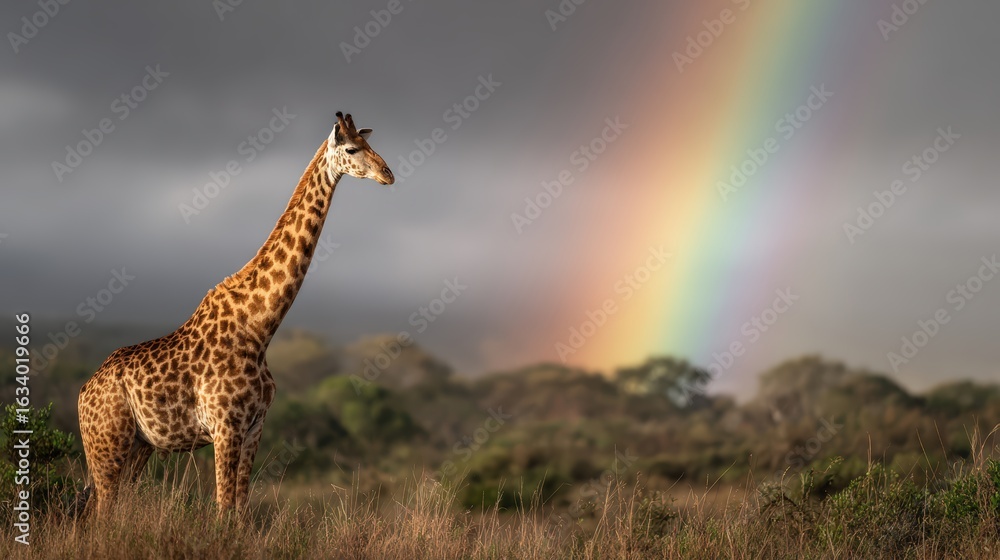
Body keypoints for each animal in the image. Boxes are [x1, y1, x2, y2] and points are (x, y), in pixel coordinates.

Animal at [77, 112, 394, 517]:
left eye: (371, 143)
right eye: (353, 149)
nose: (388, 174)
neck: (259, 328)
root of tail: (83, 393)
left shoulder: (254, 427)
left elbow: (240, 511)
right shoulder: (225, 427)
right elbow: (222, 508)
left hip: (139, 446)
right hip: (107, 446)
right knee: (100, 512)